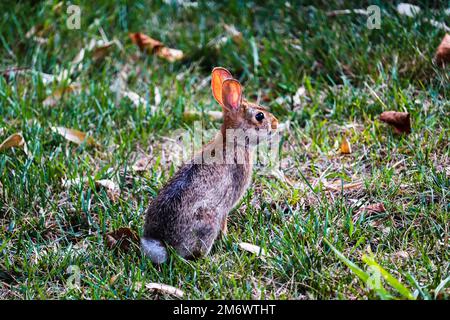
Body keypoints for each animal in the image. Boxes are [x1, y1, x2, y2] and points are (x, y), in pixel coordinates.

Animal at [142, 67, 280, 262]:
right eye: (259, 116)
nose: (276, 123)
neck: (234, 142)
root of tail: (160, 242)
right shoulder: (226, 205)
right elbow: (224, 222)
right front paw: (227, 237)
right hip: (207, 221)